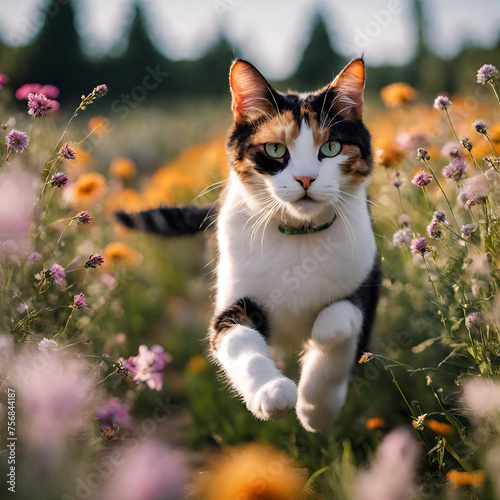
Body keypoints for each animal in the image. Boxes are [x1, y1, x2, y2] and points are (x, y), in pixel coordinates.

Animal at [118, 58, 382, 432]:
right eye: (275, 149)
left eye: (331, 148)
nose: (305, 178)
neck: (298, 236)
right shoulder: (235, 300)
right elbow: (237, 340)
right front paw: (272, 393)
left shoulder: (367, 280)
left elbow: (339, 323)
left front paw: (316, 408)